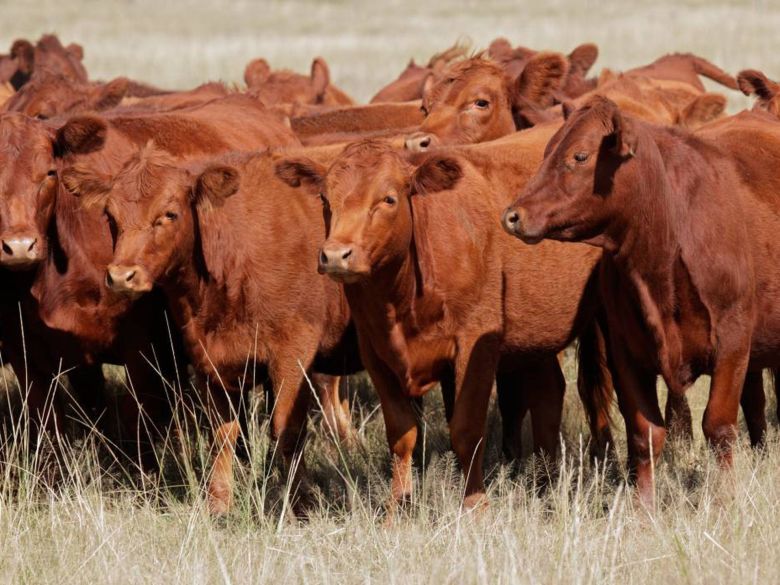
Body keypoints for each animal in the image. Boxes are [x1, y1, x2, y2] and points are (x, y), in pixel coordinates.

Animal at [64, 144, 362, 512]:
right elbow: (222, 434)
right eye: (110, 216)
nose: (121, 276)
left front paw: (300, 505)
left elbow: (287, 430)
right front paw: (218, 504)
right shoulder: (210, 360)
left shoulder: (294, 353)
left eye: (170, 214)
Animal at [278, 135, 612, 508]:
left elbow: (465, 429)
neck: (401, 299)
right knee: (548, 393)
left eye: (389, 199)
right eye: (325, 199)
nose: (336, 255)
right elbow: (401, 433)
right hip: (535, 336)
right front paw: (398, 507)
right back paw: (545, 484)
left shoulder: (475, 344)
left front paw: (475, 507)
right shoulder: (375, 352)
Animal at [500, 96, 780, 506]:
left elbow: (718, 426)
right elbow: (645, 434)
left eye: (580, 156)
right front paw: (643, 507)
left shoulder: (733, 342)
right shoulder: (625, 353)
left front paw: (724, 499)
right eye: (547, 150)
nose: (513, 216)